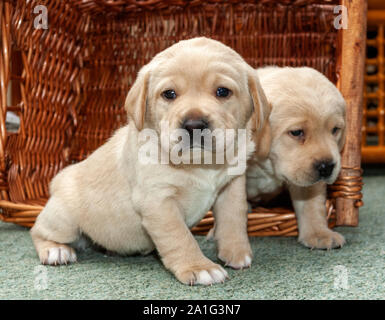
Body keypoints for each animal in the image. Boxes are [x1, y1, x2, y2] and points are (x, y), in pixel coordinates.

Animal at [30, 37, 270, 284]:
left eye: (223, 91)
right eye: (169, 94)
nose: (194, 124)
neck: (199, 164)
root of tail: (59, 179)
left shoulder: (232, 186)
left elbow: (234, 219)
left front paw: (236, 252)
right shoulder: (158, 201)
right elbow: (180, 236)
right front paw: (199, 267)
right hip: (63, 220)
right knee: (38, 230)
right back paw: (56, 250)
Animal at [248, 65, 346, 250]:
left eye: (335, 130)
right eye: (296, 132)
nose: (327, 167)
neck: (268, 165)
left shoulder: (308, 182)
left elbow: (311, 205)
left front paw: (319, 234)